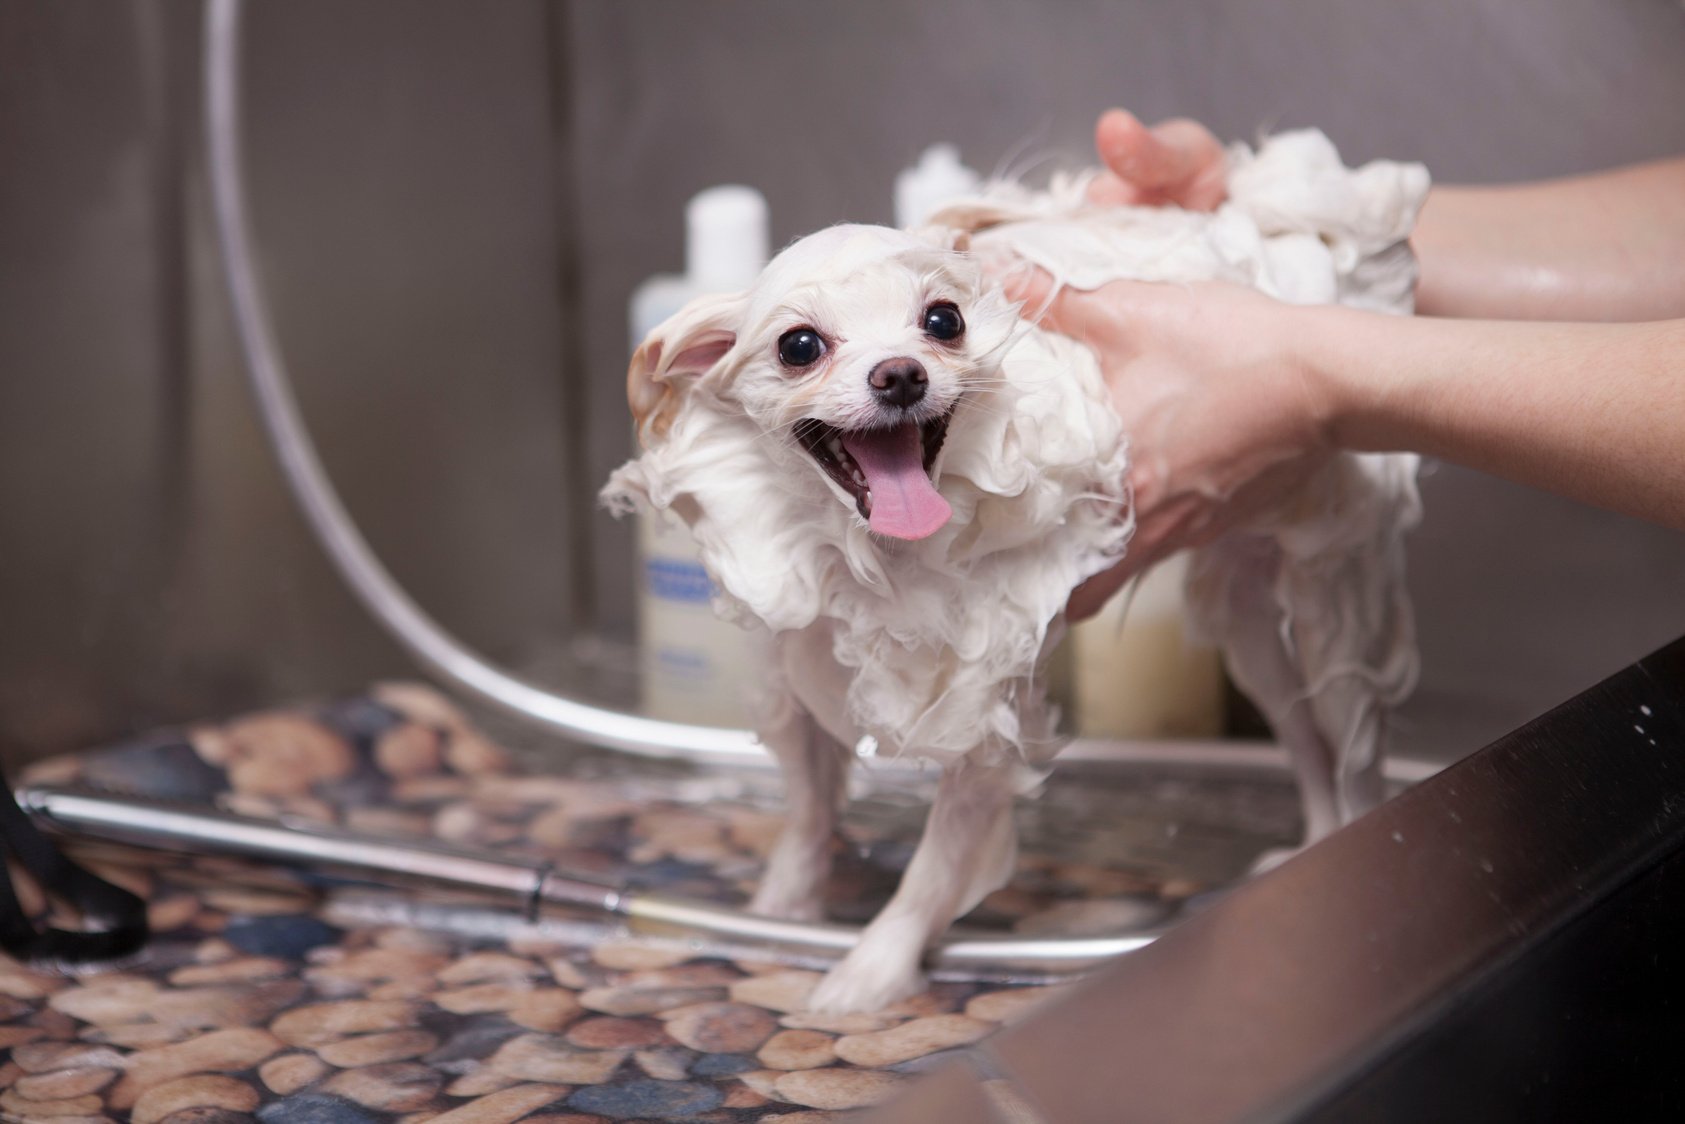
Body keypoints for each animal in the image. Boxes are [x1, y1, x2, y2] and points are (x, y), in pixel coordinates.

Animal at [603, 129, 1422, 1011]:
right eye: (799, 346)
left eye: (943, 320)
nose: (900, 374)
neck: (870, 556)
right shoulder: (798, 666)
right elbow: (808, 815)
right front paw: (776, 913)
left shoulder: (980, 717)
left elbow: (930, 873)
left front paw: (866, 975)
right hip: (1248, 632)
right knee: (1303, 744)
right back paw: (1312, 842)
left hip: (1331, 602)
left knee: (1351, 752)